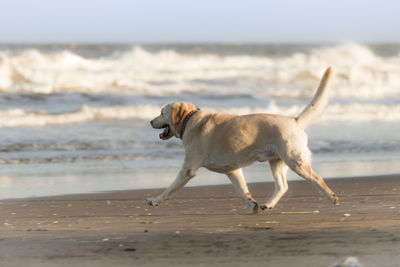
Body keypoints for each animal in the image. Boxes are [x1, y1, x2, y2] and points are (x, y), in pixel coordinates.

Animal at [146, 68, 338, 215]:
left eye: (161, 112)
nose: (150, 121)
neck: (189, 120)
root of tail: (295, 120)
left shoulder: (188, 169)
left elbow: (170, 189)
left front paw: (155, 200)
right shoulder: (233, 170)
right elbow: (242, 191)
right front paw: (252, 205)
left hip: (295, 161)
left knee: (317, 178)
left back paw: (332, 197)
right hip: (276, 163)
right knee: (282, 186)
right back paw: (268, 204)